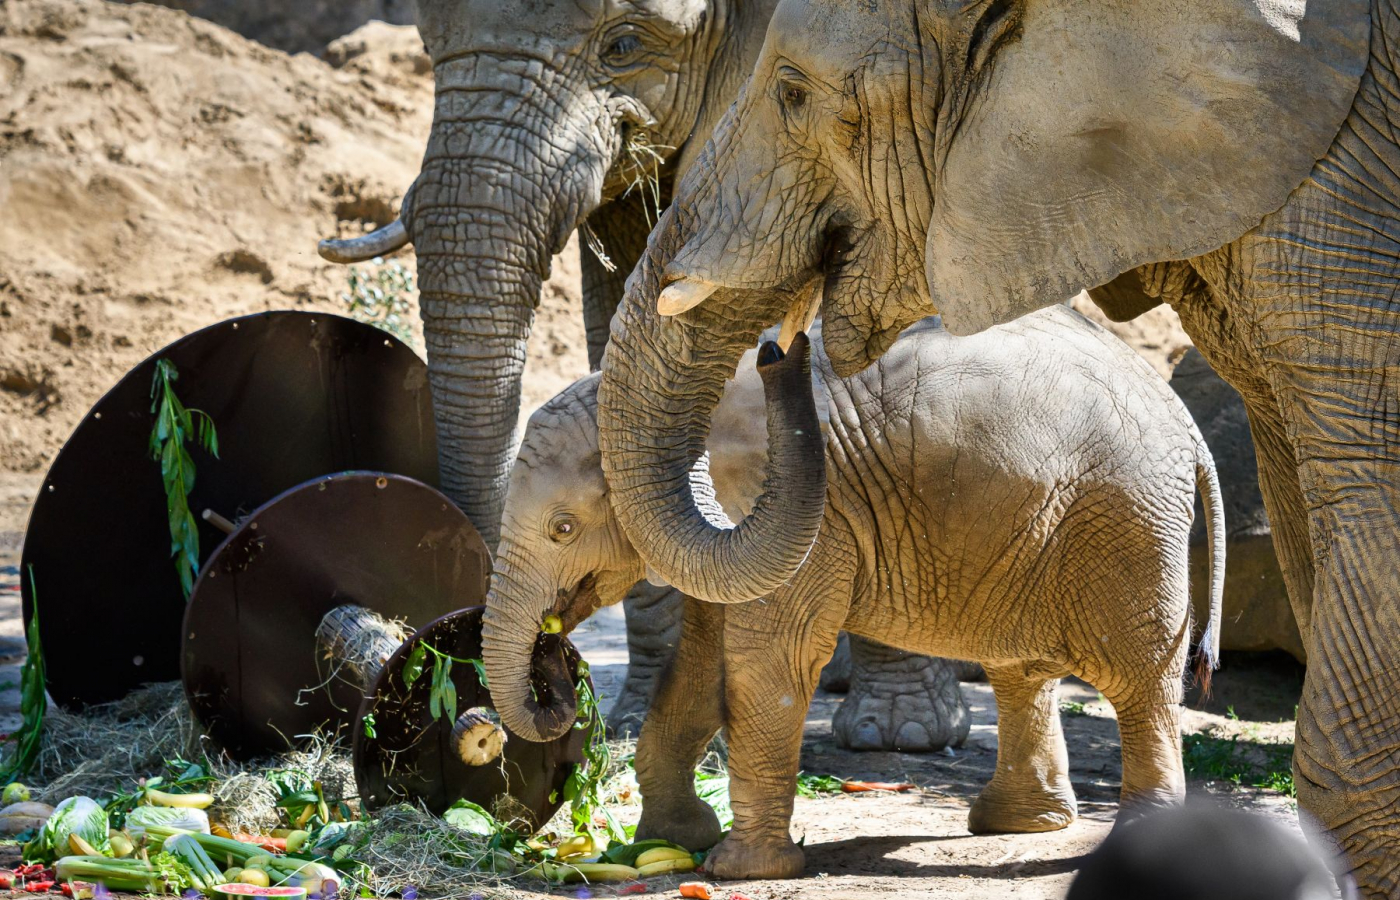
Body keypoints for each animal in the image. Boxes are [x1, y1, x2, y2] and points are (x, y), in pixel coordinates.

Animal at [319, 0, 974, 744]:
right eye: (429, 49)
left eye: (624, 45)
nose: (448, 659)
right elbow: (622, 336)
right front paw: (640, 724)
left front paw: (901, 732)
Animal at [484, 307, 1226, 879]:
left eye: (562, 527)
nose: (554, 664)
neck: (651, 416)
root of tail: (1187, 422)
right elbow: (697, 666)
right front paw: (667, 843)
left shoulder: (814, 521)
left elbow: (770, 663)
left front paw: (737, 870)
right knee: (1021, 669)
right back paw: (1014, 824)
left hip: (1127, 523)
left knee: (1136, 680)